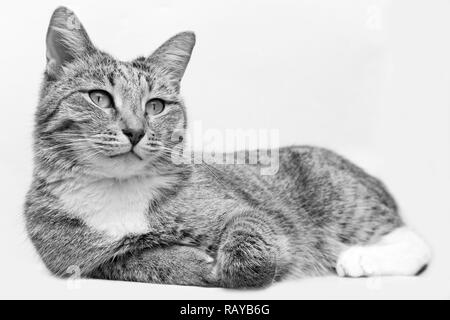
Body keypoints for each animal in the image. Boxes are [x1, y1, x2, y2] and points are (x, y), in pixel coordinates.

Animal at [25, 6, 432, 288]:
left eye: (155, 106)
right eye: (99, 98)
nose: (135, 131)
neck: (119, 190)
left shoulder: (249, 212)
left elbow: (254, 230)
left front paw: (236, 266)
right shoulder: (79, 259)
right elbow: (135, 262)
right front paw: (192, 264)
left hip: (342, 200)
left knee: (413, 239)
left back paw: (362, 257)